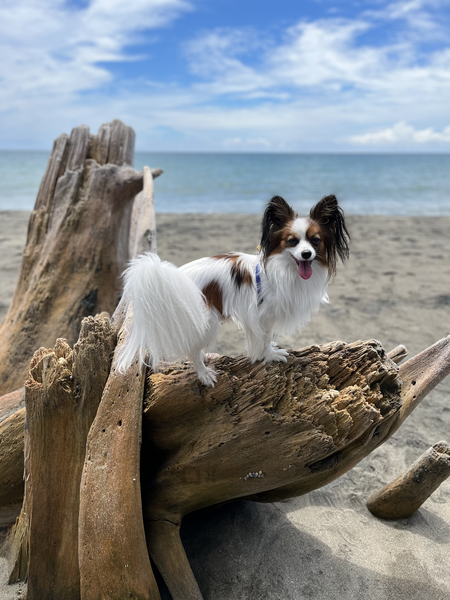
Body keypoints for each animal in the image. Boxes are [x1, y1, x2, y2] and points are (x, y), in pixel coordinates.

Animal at [116, 195, 348, 386]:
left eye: (315, 241)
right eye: (292, 241)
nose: (307, 254)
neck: (282, 269)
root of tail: (173, 278)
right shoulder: (262, 315)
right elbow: (264, 338)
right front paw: (269, 355)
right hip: (205, 321)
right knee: (192, 349)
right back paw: (203, 373)